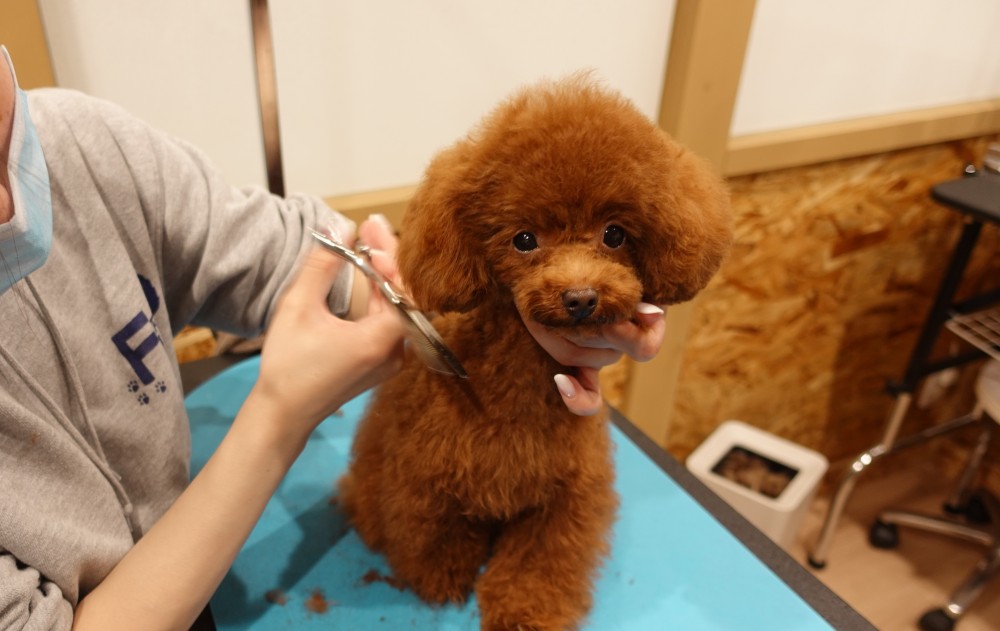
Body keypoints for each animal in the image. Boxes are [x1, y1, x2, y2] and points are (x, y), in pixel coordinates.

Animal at [338, 75, 732, 630]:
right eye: (524, 239)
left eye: (615, 234)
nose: (581, 297)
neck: (518, 387)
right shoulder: (428, 478)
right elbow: (436, 535)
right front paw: (441, 580)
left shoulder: (562, 499)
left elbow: (539, 564)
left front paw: (522, 613)